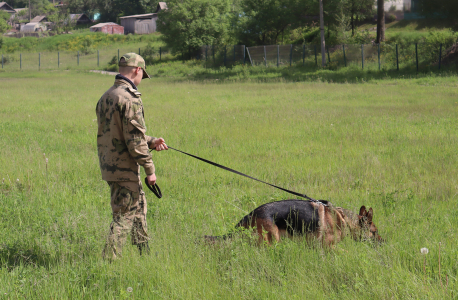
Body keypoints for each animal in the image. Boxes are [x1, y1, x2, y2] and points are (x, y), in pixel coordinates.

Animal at [206, 199, 382, 246]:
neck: (344, 219)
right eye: (374, 232)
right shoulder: (330, 247)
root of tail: (251, 213)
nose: (383, 241)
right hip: (271, 241)